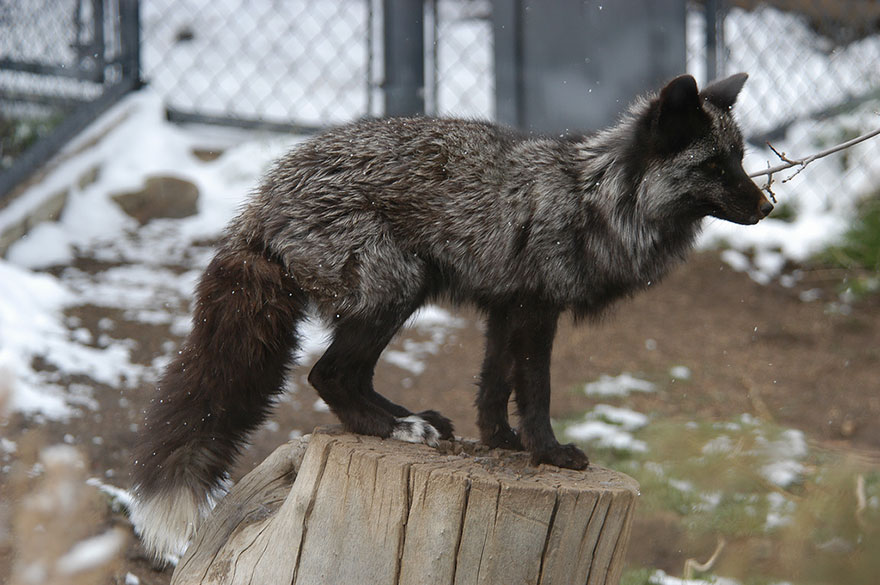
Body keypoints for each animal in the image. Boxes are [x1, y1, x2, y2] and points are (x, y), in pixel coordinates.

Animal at [131, 72, 773, 560]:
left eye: (740, 159)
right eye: (713, 165)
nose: (768, 206)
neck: (595, 200)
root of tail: (262, 203)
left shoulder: (506, 307)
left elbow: (493, 386)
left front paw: (501, 444)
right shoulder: (537, 309)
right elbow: (534, 390)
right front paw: (548, 452)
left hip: (396, 295)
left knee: (348, 376)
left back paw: (411, 420)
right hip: (397, 287)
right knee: (327, 374)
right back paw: (395, 428)